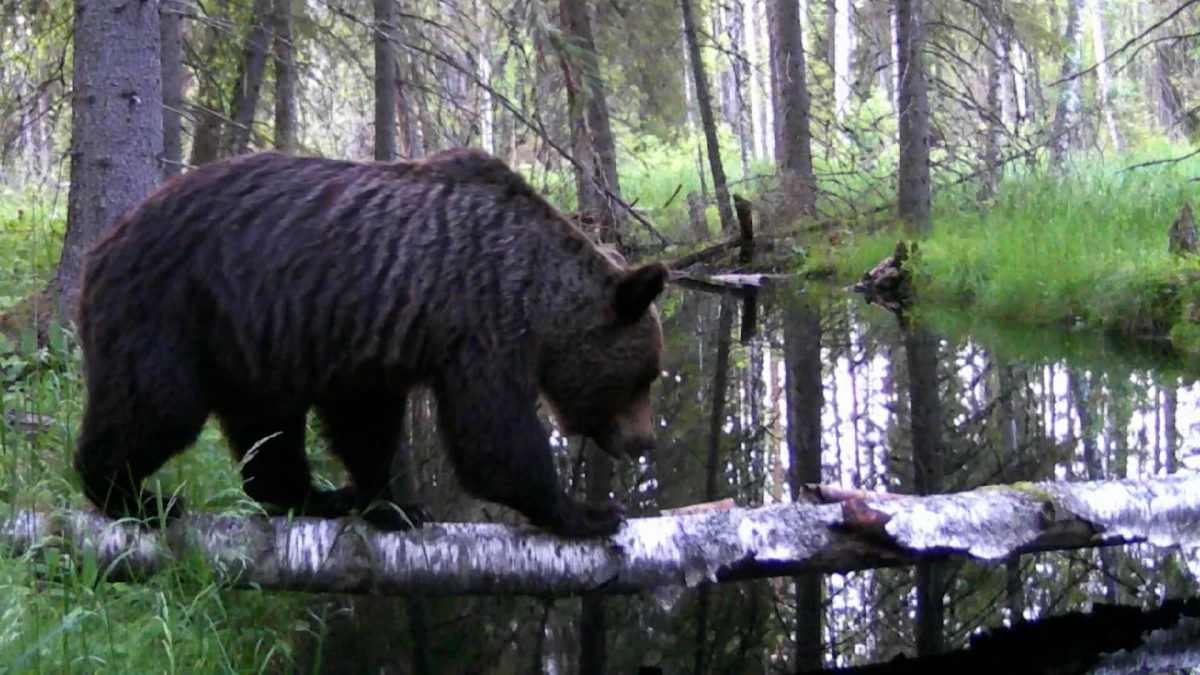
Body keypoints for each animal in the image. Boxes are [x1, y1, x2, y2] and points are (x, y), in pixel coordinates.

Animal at [68, 145, 667, 535]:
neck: (538, 296)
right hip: (168, 307)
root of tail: (100, 245)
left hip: (251, 340)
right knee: (156, 404)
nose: (645, 441)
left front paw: (391, 505)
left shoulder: (370, 338)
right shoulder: (479, 323)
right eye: (645, 377)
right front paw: (588, 512)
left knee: (268, 426)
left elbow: (367, 426)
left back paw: (313, 496)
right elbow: (493, 437)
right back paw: (134, 496)